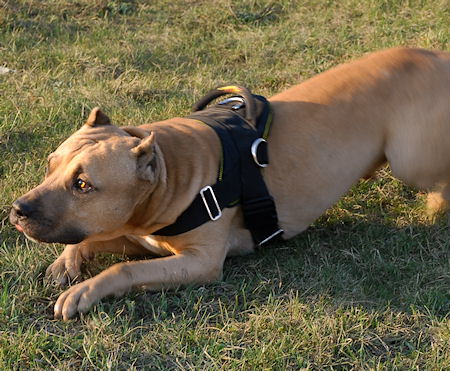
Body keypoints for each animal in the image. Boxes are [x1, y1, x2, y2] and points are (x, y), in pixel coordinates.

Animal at [9, 47, 450, 320]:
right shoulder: (139, 237)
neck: (170, 171)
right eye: (50, 166)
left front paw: (84, 291)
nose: (16, 210)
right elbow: (94, 241)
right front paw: (67, 262)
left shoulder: (200, 263)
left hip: (409, 160)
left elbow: (123, 270)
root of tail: (436, 56)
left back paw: (435, 206)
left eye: (83, 185)